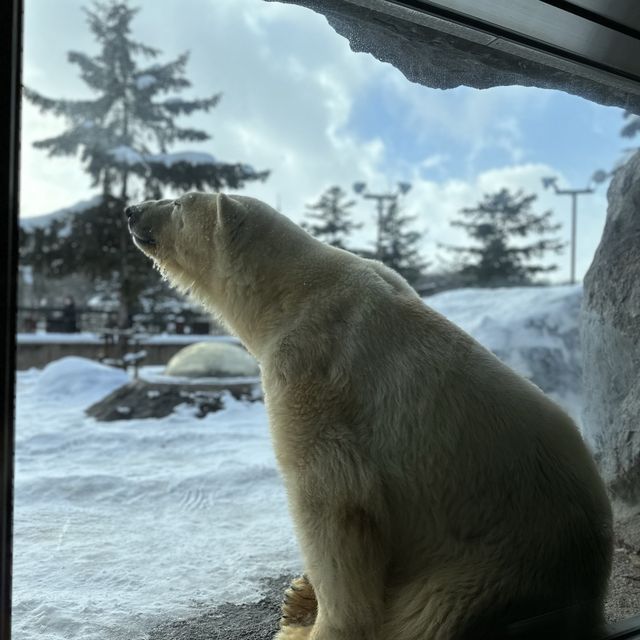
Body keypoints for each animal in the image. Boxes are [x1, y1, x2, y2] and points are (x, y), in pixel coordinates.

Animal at [125, 192, 608, 636]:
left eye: (178, 203)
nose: (132, 210)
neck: (293, 292)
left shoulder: (312, 374)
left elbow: (332, 507)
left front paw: (319, 627)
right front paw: (304, 601)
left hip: (470, 576)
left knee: (424, 614)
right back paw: (298, 597)